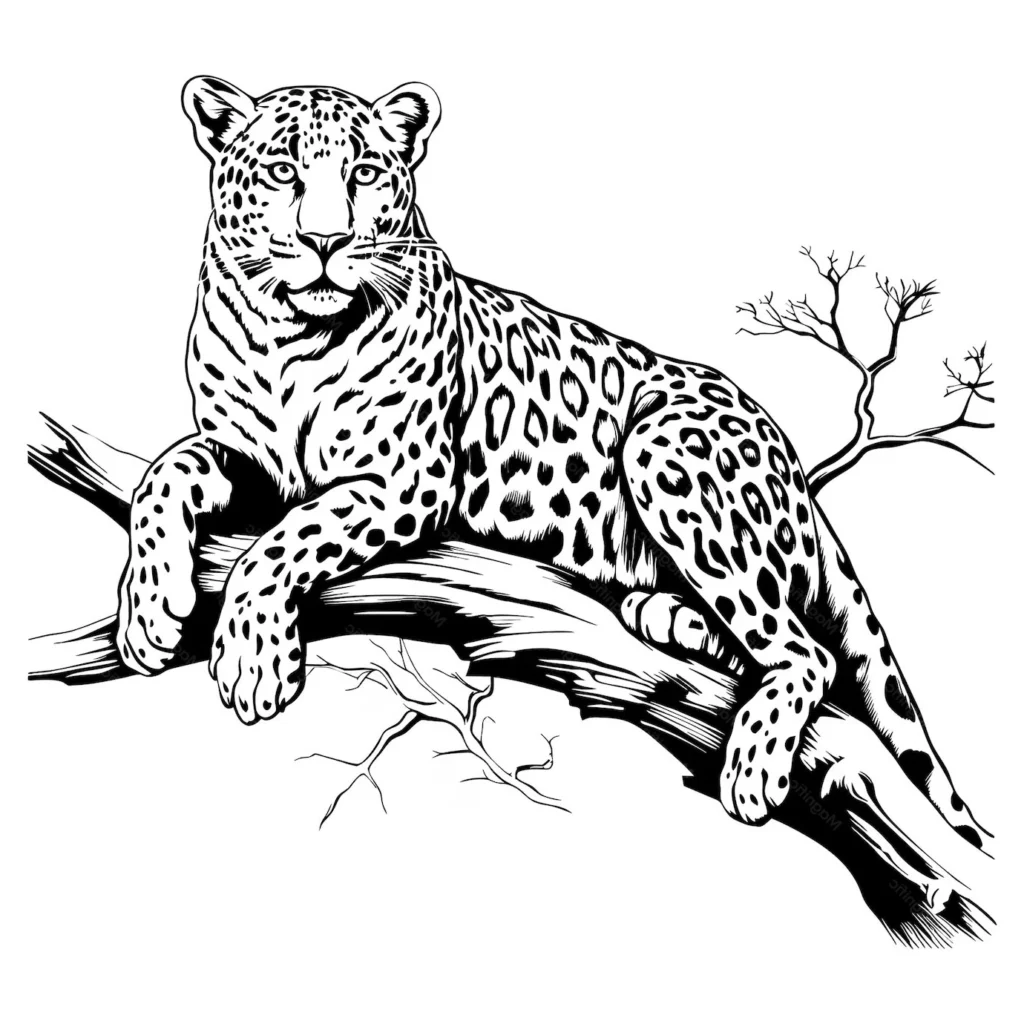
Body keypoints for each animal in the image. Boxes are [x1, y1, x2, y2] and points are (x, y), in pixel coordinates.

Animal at [115, 75, 988, 846]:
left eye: (364, 172)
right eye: (281, 171)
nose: (325, 241)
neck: (288, 340)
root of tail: (789, 460)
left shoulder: (407, 477)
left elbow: (286, 541)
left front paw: (253, 660)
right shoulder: (248, 461)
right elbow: (166, 474)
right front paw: (150, 613)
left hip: (664, 446)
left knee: (808, 650)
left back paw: (753, 764)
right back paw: (671, 617)